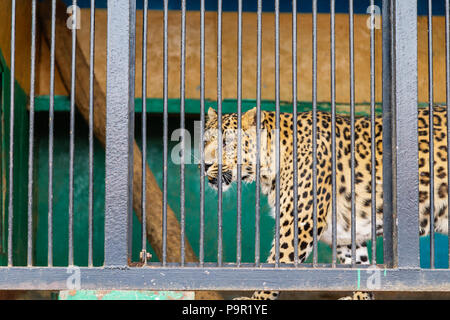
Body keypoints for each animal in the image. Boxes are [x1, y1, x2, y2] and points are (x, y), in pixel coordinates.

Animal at [205, 105, 450, 300]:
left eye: (227, 143)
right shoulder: (346, 233)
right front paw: (360, 297)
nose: (205, 165)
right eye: (206, 141)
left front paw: (257, 299)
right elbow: (358, 268)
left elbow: (275, 267)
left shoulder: (298, 224)